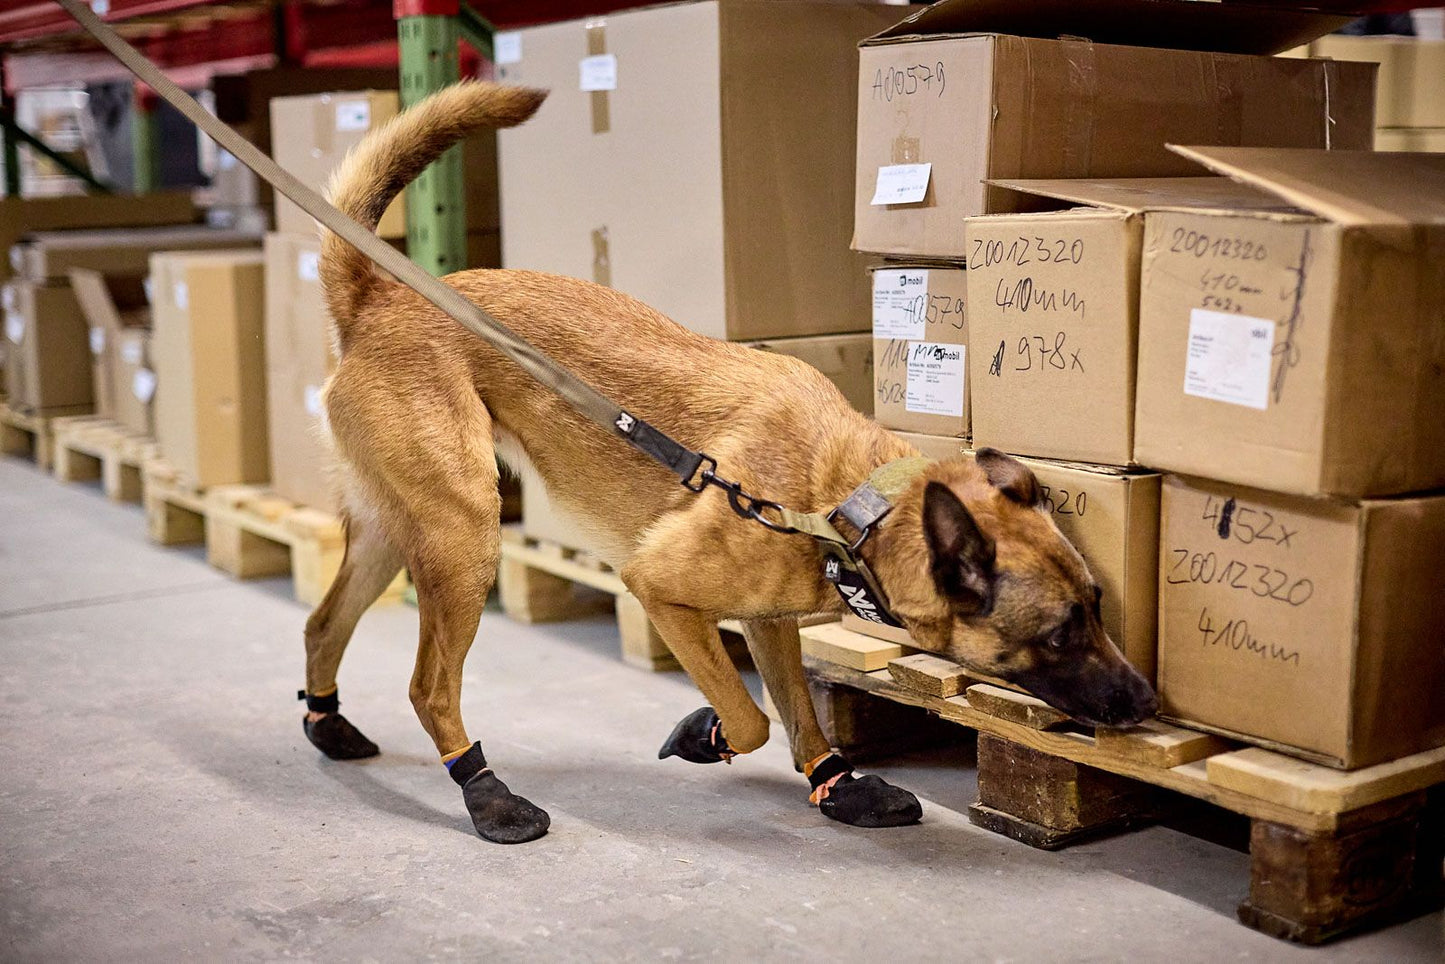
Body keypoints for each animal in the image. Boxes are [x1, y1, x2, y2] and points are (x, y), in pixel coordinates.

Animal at [302, 83, 1150, 844]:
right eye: (1061, 633)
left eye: (1097, 606)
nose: (1144, 703)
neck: (845, 504)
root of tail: (379, 297)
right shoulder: (661, 593)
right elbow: (750, 721)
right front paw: (701, 733)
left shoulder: (766, 620)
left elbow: (801, 718)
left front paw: (835, 785)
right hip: (465, 538)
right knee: (427, 687)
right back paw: (486, 794)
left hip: (400, 529)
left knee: (320, 624)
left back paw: (327, 724)